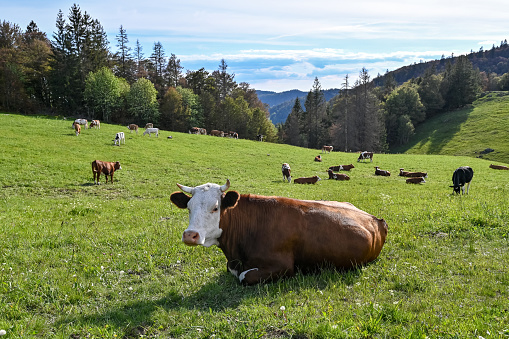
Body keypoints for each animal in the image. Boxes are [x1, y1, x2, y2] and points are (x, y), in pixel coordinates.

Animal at [169, 179, 386, 286]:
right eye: (189, 207)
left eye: (215, 208)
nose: (190, 235)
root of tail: (375, 218)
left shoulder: (283, 267)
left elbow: (244, 277)